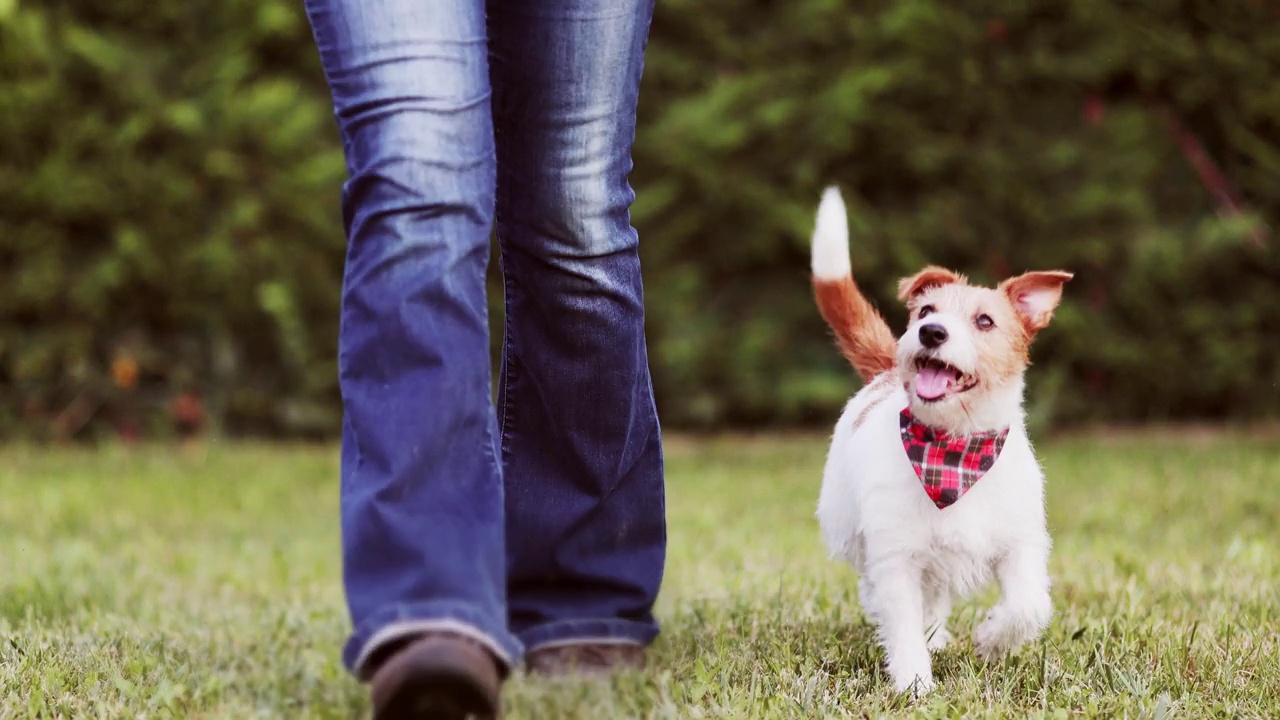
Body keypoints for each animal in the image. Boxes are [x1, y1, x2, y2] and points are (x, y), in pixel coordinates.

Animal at [808, 188, 1070, 691]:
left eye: (985, 321)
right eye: (926, 311)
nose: (929, 331)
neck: (954, 449)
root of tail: (885, 373)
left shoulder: (1021, 542)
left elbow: (1029, 604)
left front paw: (992, 639)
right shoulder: (896, 557)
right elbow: (903, 621)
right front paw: (915, 685)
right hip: (853, 528)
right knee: (885, 591)